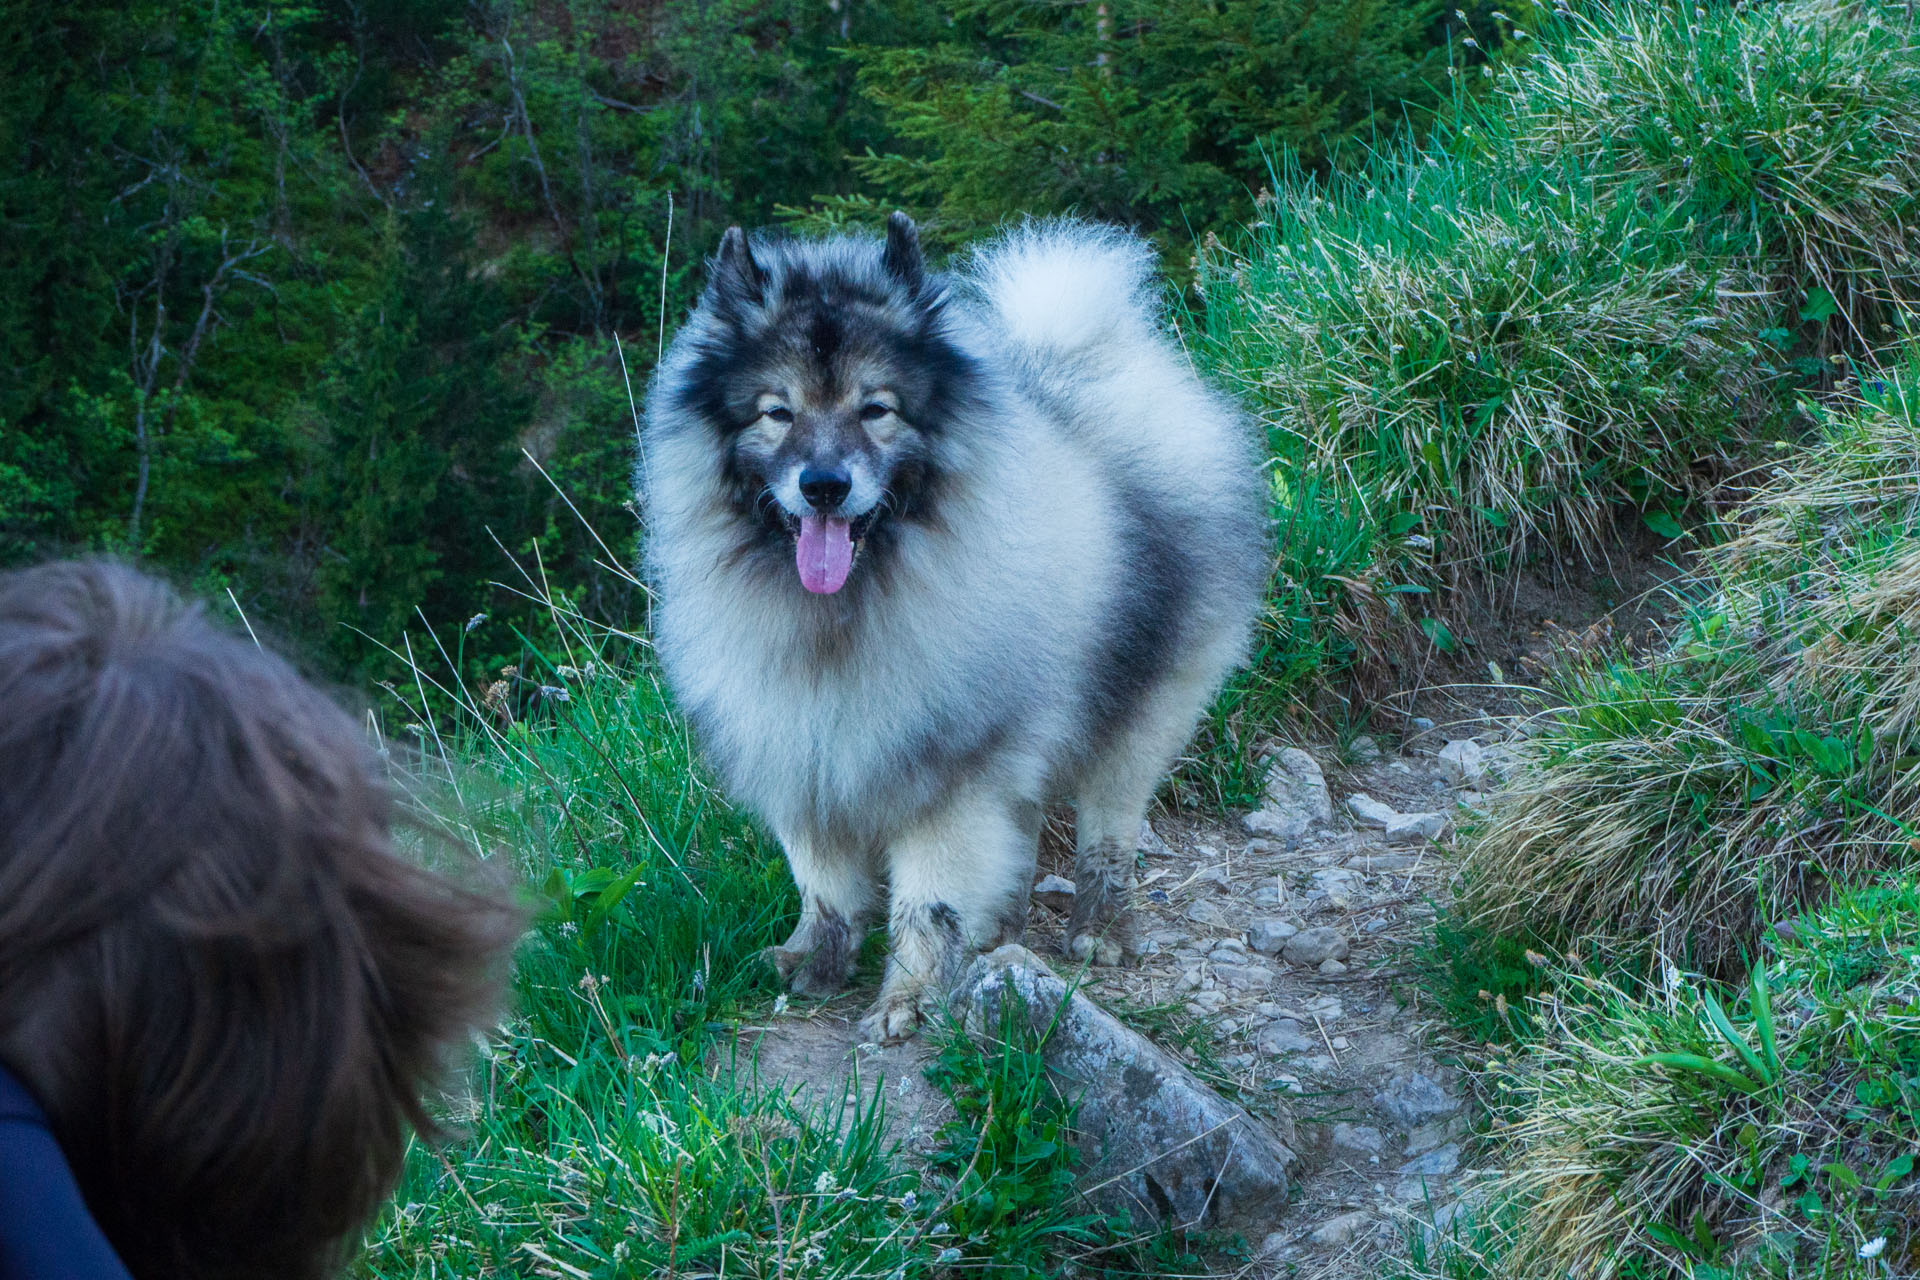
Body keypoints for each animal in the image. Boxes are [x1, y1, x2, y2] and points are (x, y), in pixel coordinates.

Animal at [645, 214, 1274, 1043]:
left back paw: (1099, 926)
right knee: (1031, 816)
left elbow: (927, 899)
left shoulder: (948, 773)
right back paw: (1002, 925)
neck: (844, 611)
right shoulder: (803, 744)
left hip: (1145, 704)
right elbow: (823, 880)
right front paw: (815, 957)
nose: (824, 485)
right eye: (777, 413)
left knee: (1109, 827)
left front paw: (909, 997)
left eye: (876, 409)